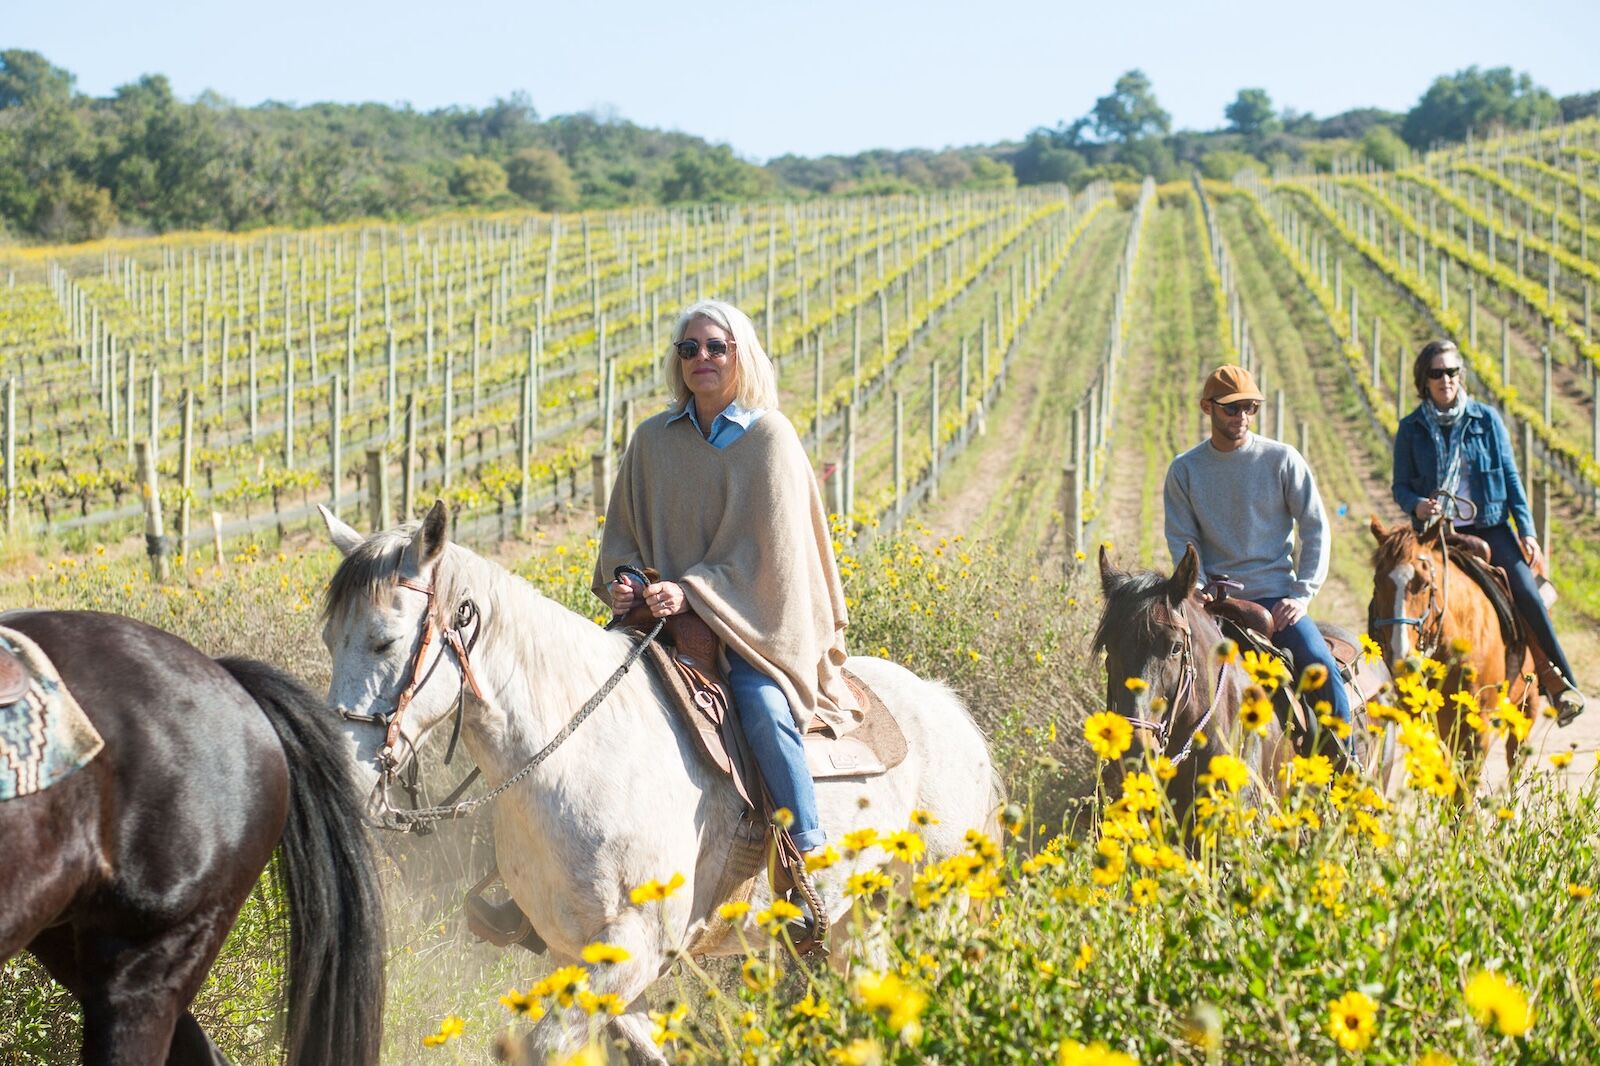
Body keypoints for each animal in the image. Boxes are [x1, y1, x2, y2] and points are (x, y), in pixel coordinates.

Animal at [315, 502, 998, 1056]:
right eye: (329, 639)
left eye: (384, 642)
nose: (339, 771)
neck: (576, 756)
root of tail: (948, 710)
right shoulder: (583, 957)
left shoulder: (638, 944)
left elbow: (545, 1044)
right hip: (865, 923)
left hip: (936, 910)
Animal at [1363, 515, 1536, 781]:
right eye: (1377, 582)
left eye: (1425, 584)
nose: (1401, 656)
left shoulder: (1479, 729)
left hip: (1527, 707)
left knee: (1514, 761)